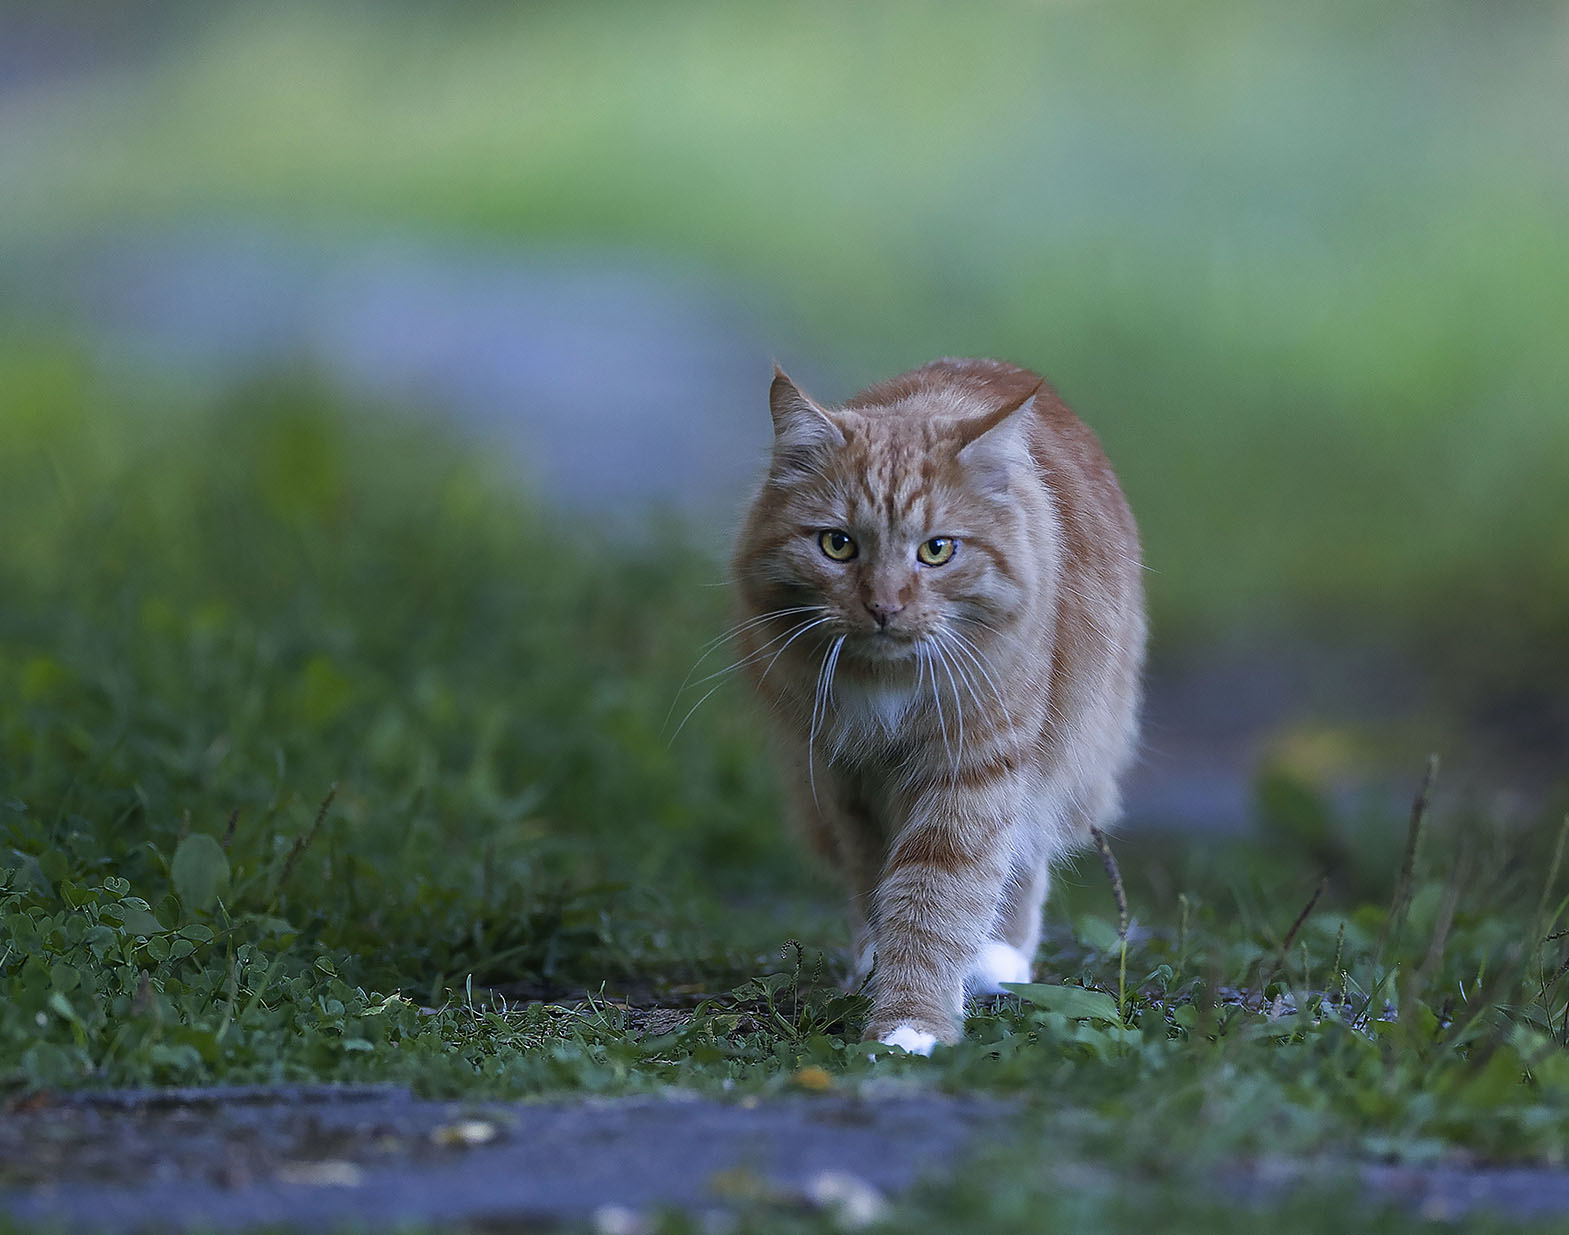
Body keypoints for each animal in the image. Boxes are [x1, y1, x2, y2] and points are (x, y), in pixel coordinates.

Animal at [728, 354, 1148, 1054]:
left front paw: (910, 1025)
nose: (884, 606)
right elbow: (879, 887)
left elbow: (936, 899)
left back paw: (999, 960)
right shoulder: (848, 782)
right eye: (838, 546)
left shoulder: (973, 770)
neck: (887, 690)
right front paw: (881, 974)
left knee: (1028, 855)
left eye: (937, 550)